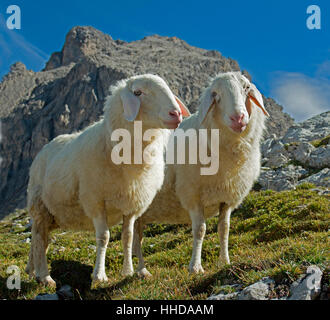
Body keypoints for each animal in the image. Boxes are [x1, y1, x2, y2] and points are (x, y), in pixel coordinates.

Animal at [25, 74, 191, 286]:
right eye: (138, 92)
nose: (176, 114)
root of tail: (44, 149)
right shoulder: (95, 201)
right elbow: (104, 237)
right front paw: (99, 275)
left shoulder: (131, 204)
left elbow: (128, 237)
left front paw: (129, 271)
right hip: (40, 206)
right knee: (39, 238)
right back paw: (46, 277)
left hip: (53, 214)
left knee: (39, 240)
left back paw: (33, 272)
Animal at [133, 72, 270, 276]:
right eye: (216, 94)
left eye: (246, 88)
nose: (238, 118)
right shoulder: (192, 194)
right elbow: (200, 230)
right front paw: (195, 267)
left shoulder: (227, 198)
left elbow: (224, 229)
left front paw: (224, 261)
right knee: (134, 241)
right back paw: (141, 271)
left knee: (135, 239)